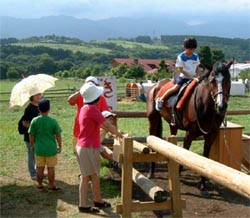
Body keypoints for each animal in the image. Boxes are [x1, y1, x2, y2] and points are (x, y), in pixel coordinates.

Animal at [146, 61, 232, 196]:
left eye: (228, 80)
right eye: (212, 80)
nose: (221, 106)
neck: (207, 107)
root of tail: (155, 85)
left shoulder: (211, 135)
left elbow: (205, 158)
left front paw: (203, 186)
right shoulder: (189, 134)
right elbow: (184, 152)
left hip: (173, 124)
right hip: (153, 120)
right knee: (152, 139)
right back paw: (151, 171)